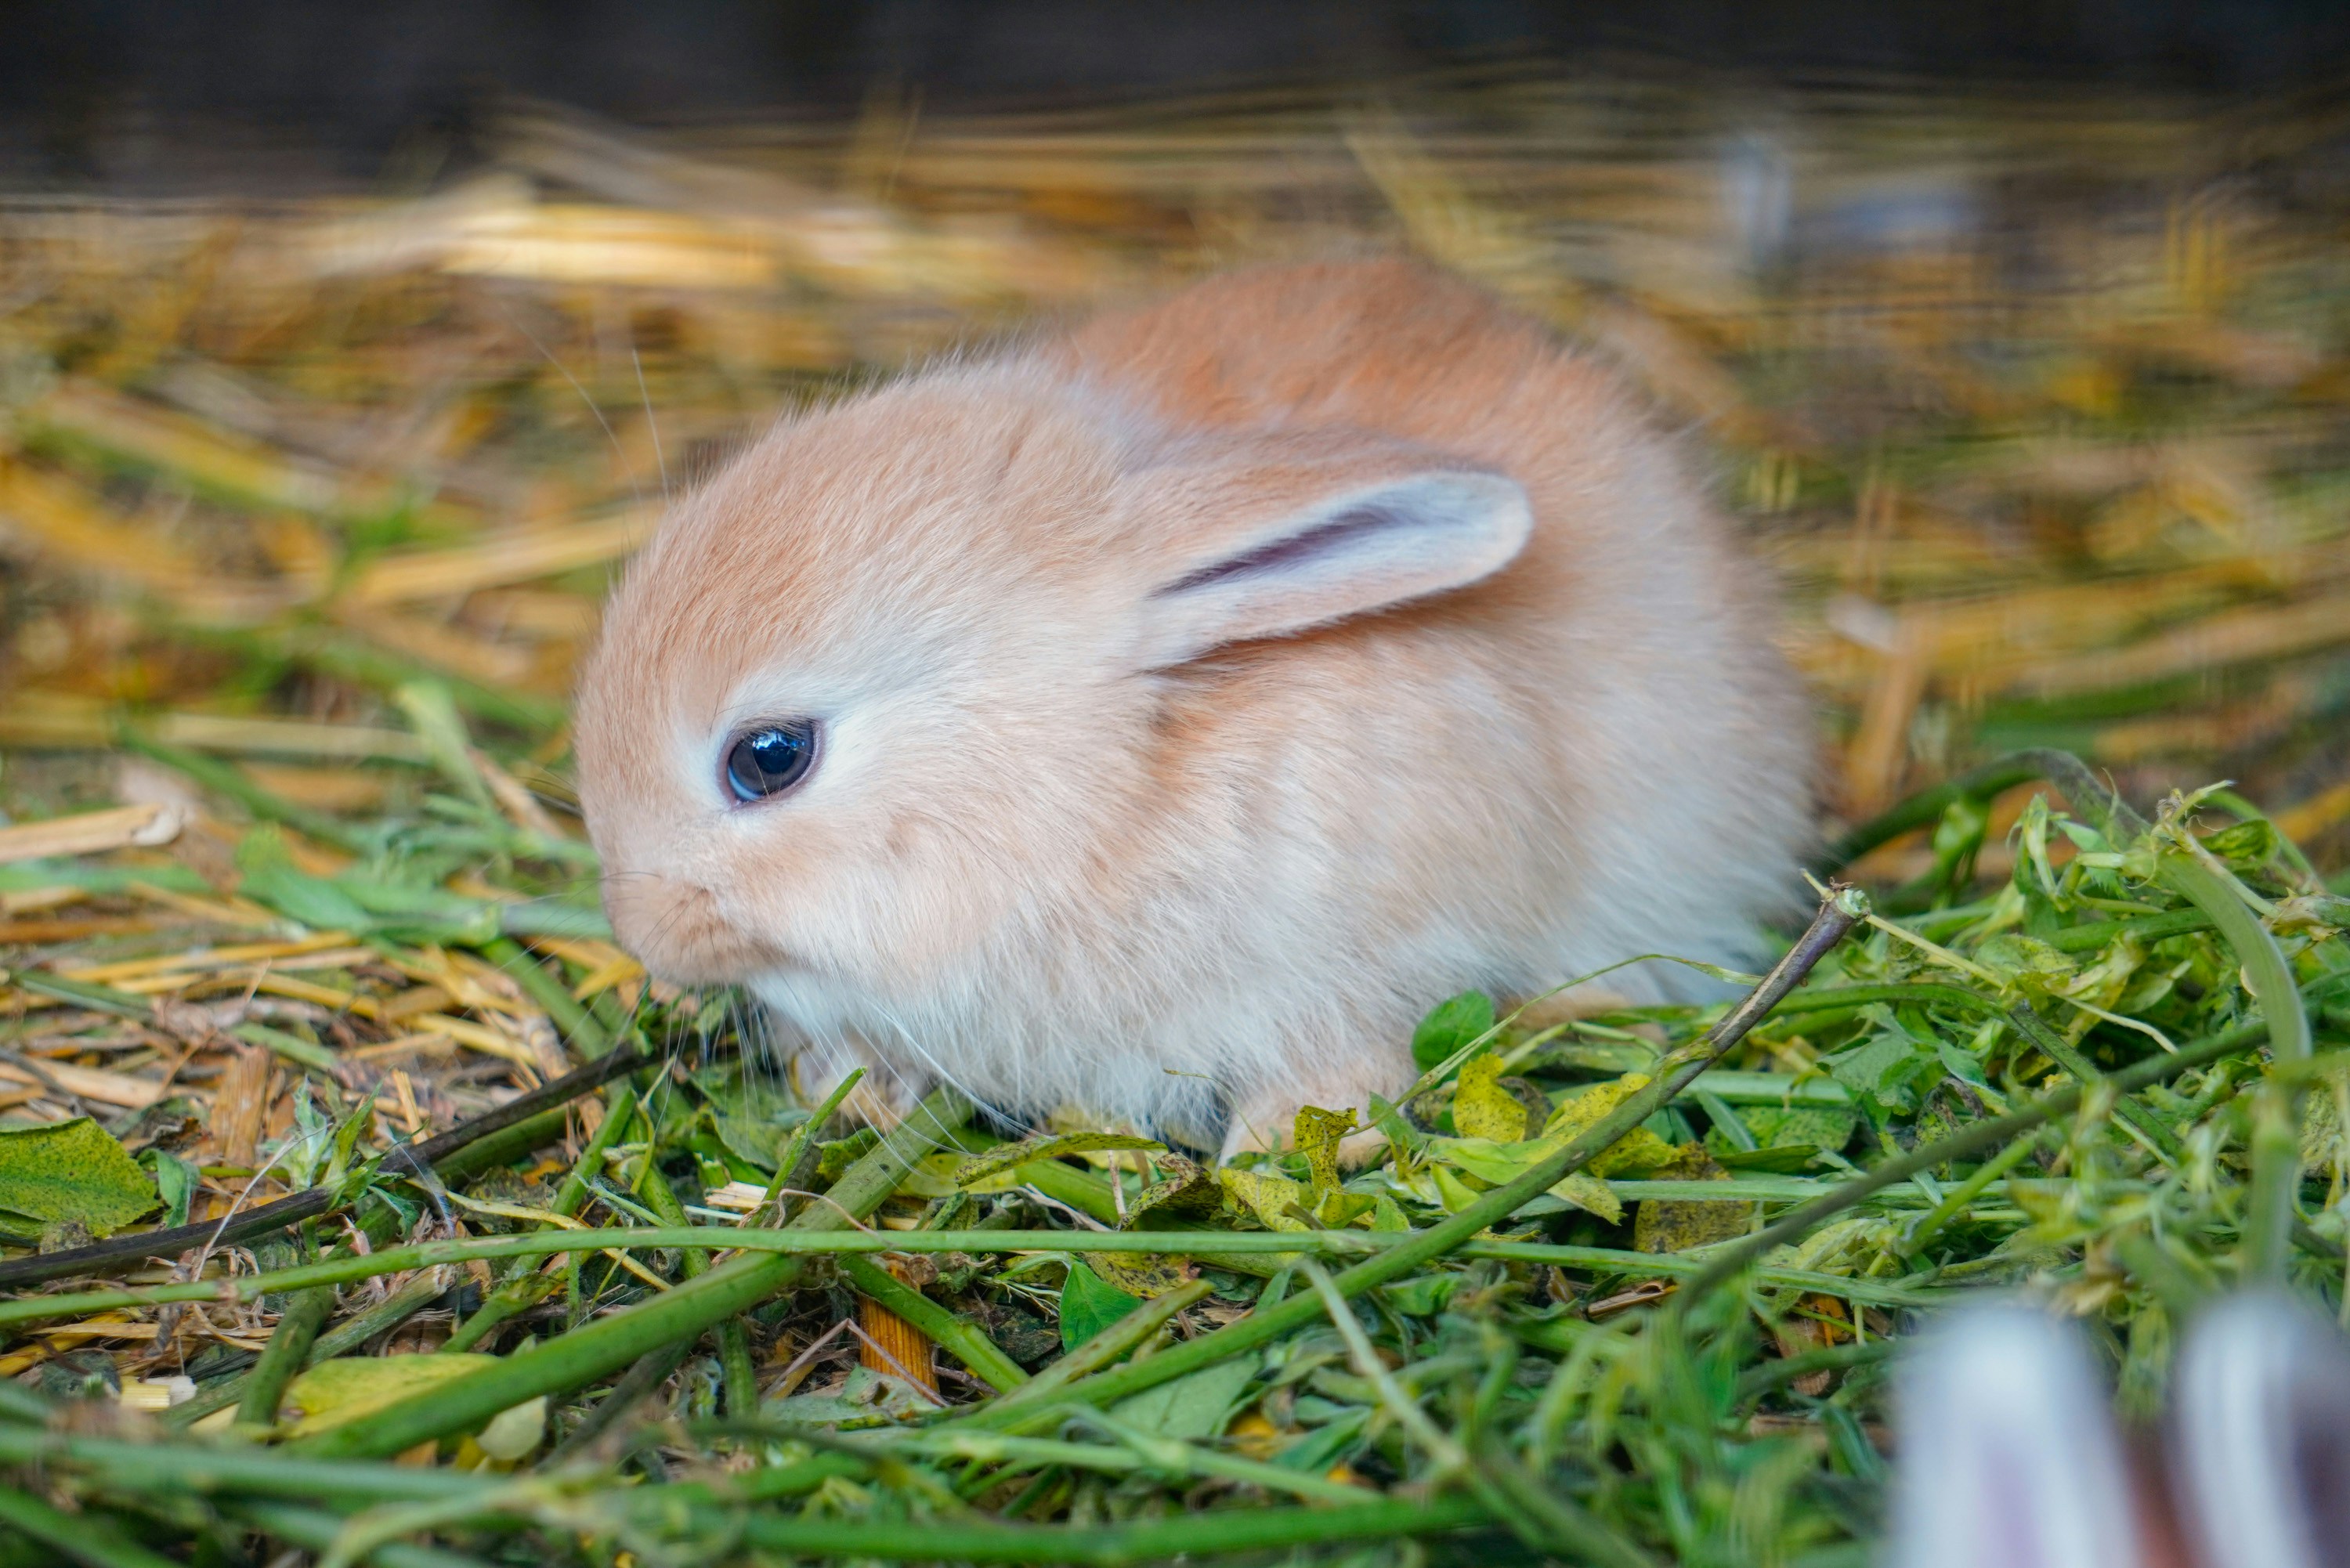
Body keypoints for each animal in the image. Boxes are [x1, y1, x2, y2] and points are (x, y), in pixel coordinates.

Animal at [573, 261, 1814, 1151]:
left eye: (769, 757)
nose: (640, 929)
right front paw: (853, 1087)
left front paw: (1279, 1149)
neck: (1091, 793)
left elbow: (1343, 1068)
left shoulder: (1372, 962)